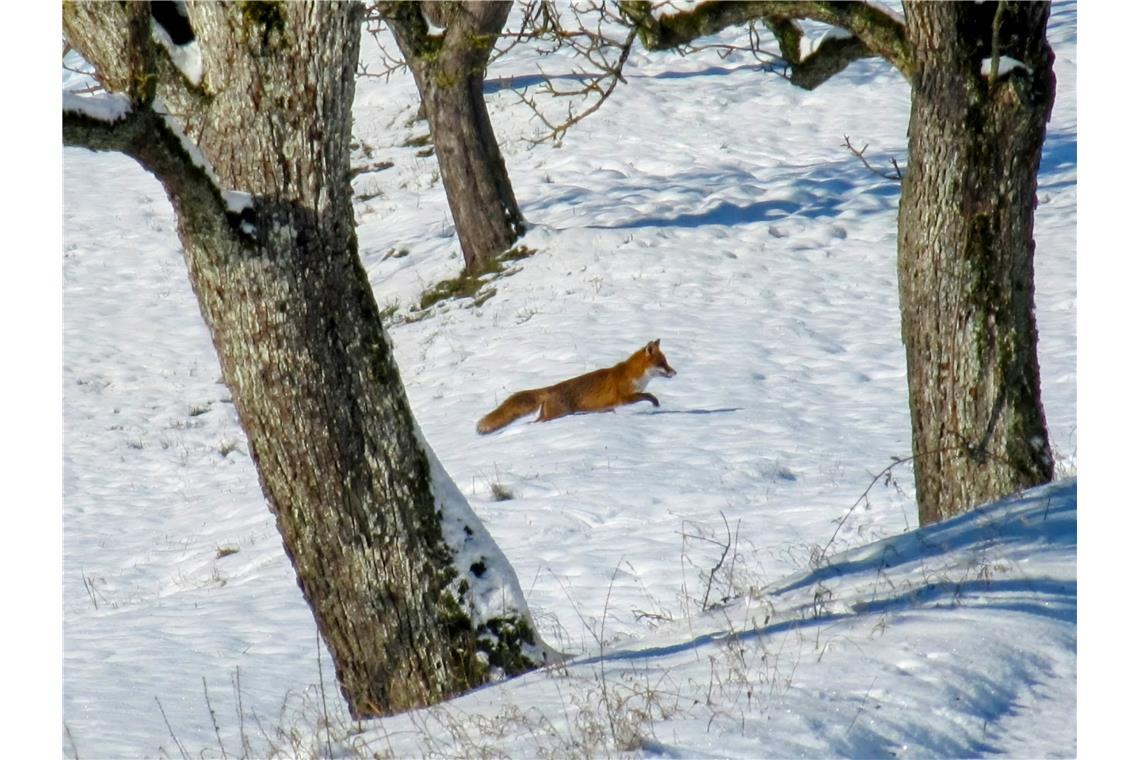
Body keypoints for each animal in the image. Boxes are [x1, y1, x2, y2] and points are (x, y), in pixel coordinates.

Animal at [476, 339, 677, 434]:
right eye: (662, 364)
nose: (675, 372)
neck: (635, 376)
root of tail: (550, 389)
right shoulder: (624, 398)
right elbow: (649, 395)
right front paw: (656, 404)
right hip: (555, 416)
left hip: (549, 416)